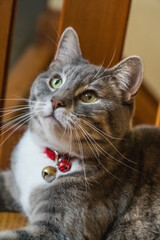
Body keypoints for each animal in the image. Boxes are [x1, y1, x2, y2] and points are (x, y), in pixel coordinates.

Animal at [0, 26, 160, 240]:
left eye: (89, 97)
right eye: (56, 81)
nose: (56, 101)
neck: (53, 155)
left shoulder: (58, 229)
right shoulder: (12, 182)